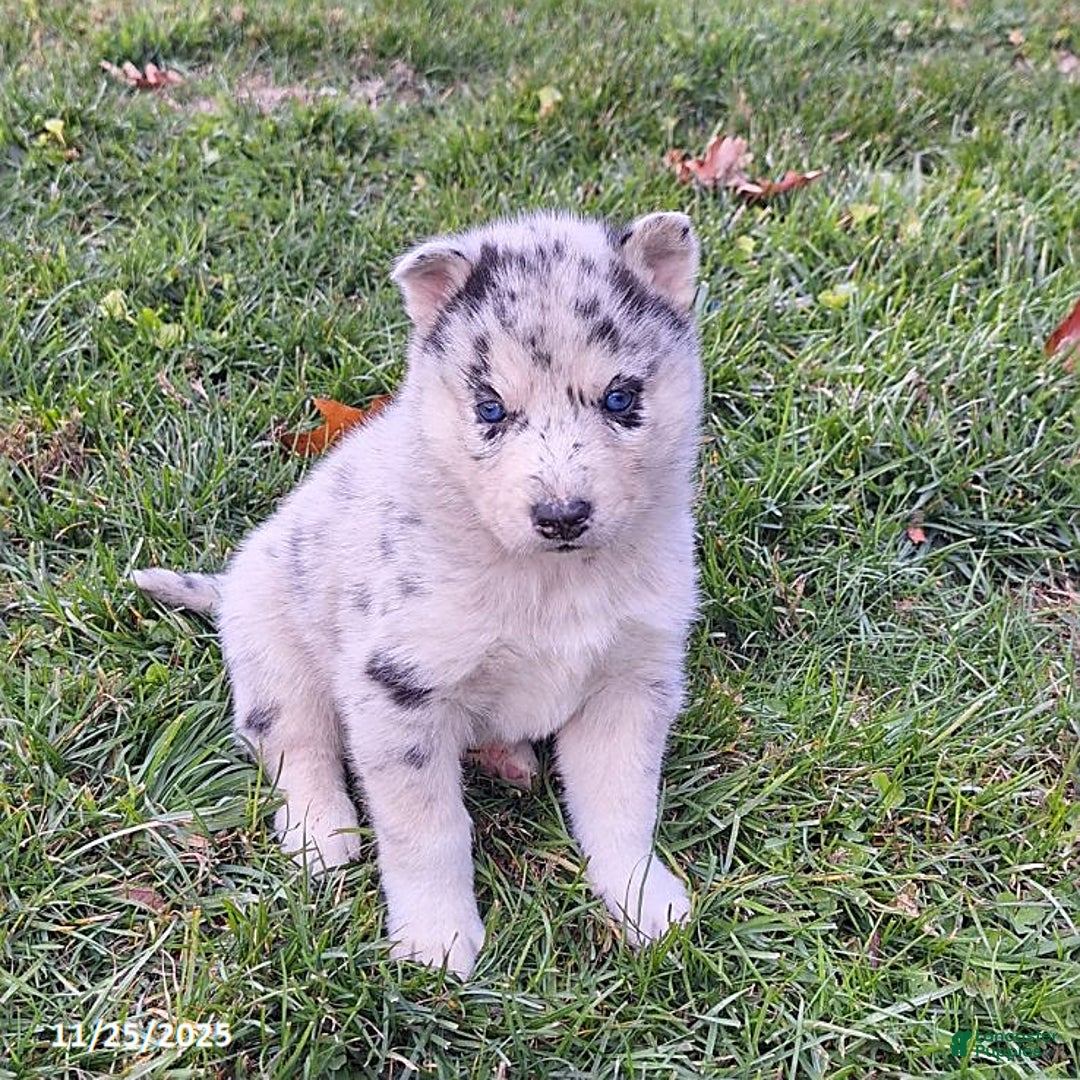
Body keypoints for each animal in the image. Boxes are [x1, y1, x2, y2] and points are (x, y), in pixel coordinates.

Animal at [134, 209, 703, 977]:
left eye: (620, 399)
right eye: (490, 408)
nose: (561, 516)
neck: (550, 581)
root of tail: (227, 586)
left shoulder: (632, 682)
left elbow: (621, 809)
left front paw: (643, 903)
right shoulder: (398, 689)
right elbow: (428, 830)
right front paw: (436, 942)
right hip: (275, 653)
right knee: (295, 748)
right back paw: (321, 833)